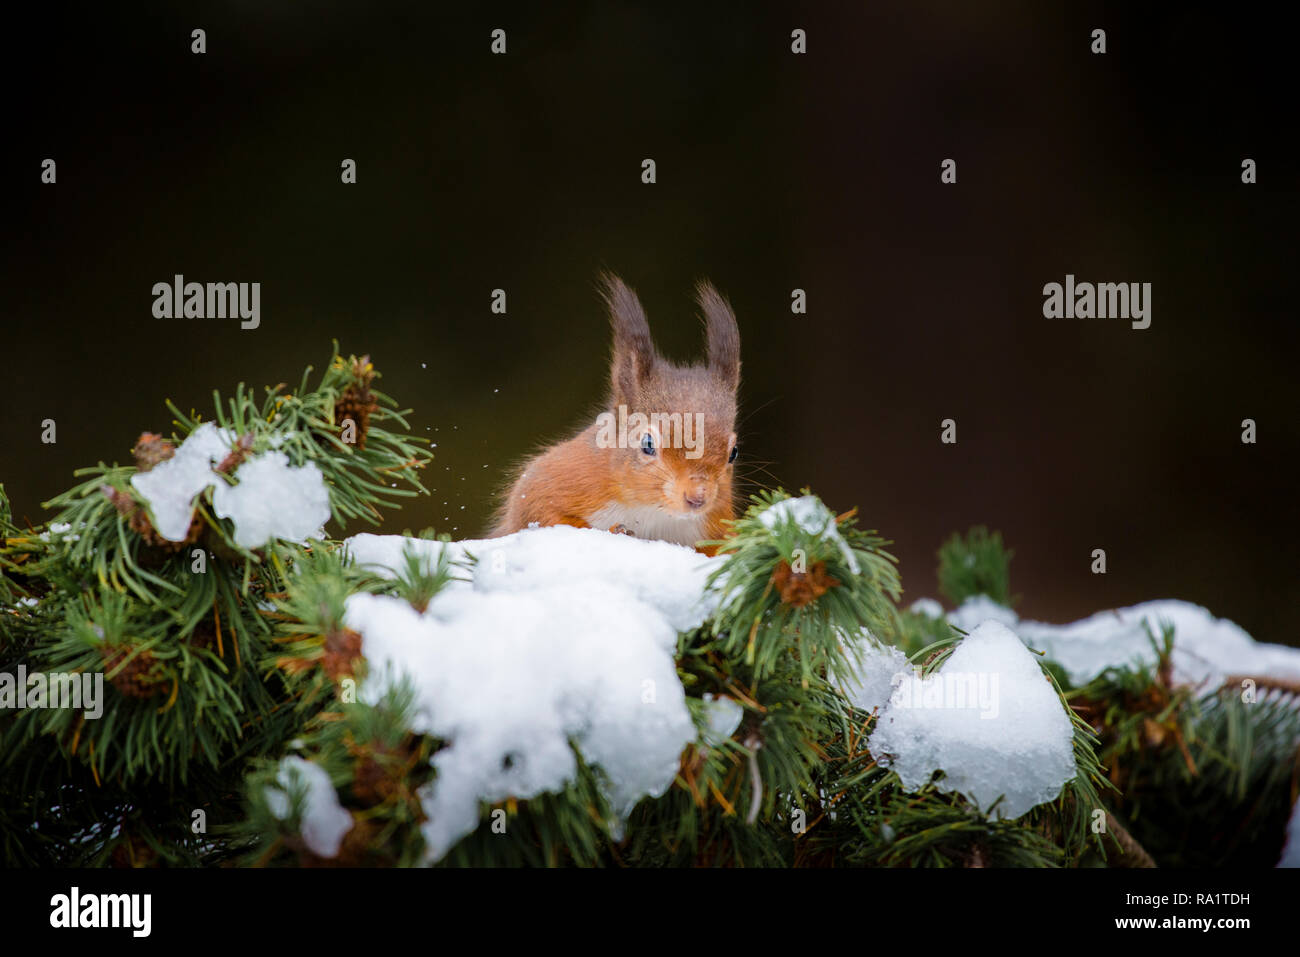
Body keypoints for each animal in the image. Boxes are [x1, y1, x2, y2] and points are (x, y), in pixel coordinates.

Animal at [491, 273, 743, 553]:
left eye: (733, 452)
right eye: (647, 444)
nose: (697, 497)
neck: (652, 510)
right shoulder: (555, 479)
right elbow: (538, 512)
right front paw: (615, 530)